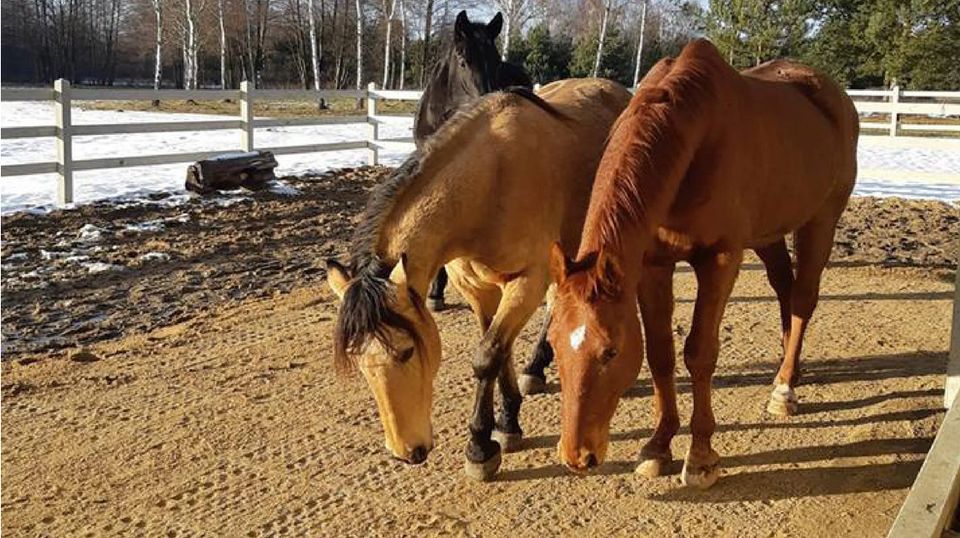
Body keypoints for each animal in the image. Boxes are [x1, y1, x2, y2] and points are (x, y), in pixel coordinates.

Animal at [326, 78, 632, 478]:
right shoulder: (480, 290)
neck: (490, 183)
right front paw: (508, 422)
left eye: (407, 351)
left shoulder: (526, 281)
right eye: (359, 361)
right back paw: (536, 367)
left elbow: (487, 357)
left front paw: (480, 446)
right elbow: (498, 351)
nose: (406, 452)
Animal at [548, 39, 856, 488]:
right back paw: (790, 368)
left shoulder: (720, 260)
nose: (577, 456)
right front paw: (658, 446)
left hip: (820, 222)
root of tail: (836, 98)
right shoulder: (651, 266)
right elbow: (661, 353)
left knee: (802, 299)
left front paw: (701, 456)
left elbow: (700, 353)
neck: (692, 139)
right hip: (768, 235)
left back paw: (784, 389)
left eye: (610, 351)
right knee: (784, 288)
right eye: (553, 344)